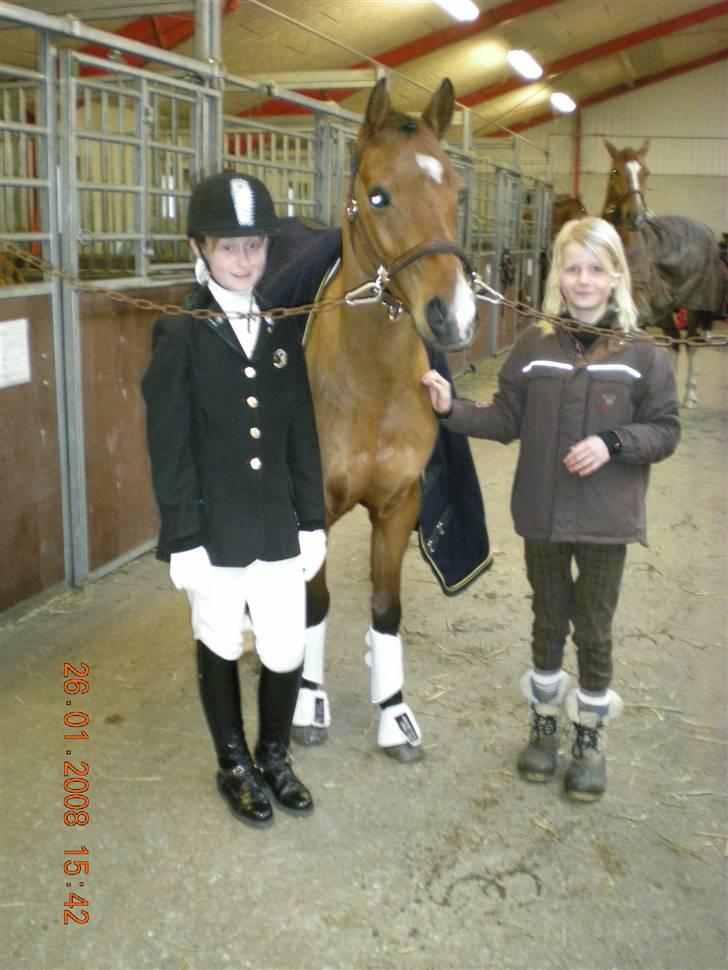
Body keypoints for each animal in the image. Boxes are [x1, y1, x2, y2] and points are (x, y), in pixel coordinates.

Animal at [292, 78, 479, 762]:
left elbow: (385, 606)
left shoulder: (400, 504)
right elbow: (314, 603)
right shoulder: (311, 510)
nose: (454, 315)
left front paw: (393, 712)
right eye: (378, 194)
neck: (367, 383)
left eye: (458, 191)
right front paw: (308, 704)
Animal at [602, 139, 727, 408]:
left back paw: (690, 396)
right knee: (674, 340)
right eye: (615, 171)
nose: (635, 217)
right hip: (666, 309)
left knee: (690, 342)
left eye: (645, 171)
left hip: (694, 306)